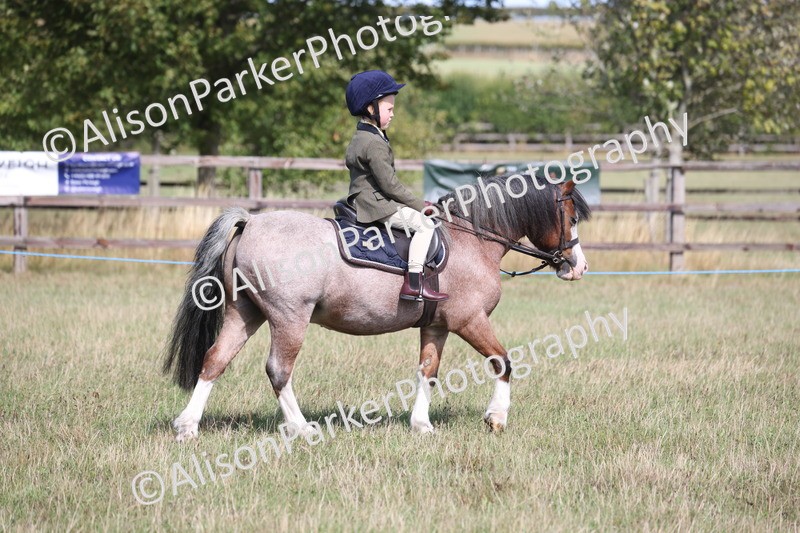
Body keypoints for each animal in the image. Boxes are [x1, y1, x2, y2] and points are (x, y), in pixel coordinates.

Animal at [163, 173, 592, 441]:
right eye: (571, 218)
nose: (579, 267)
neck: (472, 238)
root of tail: (251, 222)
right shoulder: (470, 320)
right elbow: (503, 361)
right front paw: (496, 418)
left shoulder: (436, 326)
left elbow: (428, 372)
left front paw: (421, 425)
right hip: (289, 318)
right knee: (278, 371)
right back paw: (302, 429)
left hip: (245, 314)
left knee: (215, 360)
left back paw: (188, 426)